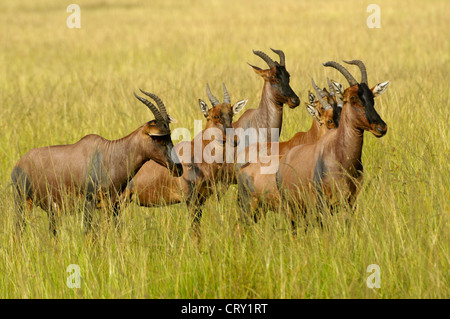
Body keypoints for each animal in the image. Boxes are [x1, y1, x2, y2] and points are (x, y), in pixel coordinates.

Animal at [10, 91, 183, 236]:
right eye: (157, 137)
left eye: (169, 136)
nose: (178, 168)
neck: (108, 155)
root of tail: (18, 164)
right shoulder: (89, 204)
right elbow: (89, 234)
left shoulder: (111, 206)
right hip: (22, 202)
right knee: (19, 231)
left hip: (52, 211)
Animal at [276, 60, 388, 230]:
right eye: (353, 97)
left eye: (372, 97)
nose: (381, 127)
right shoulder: (323, 204)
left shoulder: (350, 202)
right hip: (293, 208)